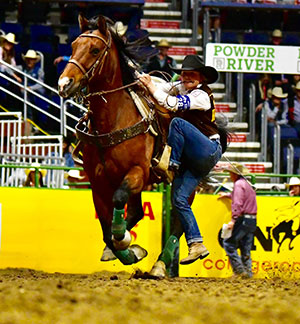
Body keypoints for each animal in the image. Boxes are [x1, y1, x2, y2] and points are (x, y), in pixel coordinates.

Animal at [58, 13, 163, 264]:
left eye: (95, 49)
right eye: (73, 46)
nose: (64, 84)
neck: (113, 121)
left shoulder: (138, 172)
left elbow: (118, 200)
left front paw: (124, 240)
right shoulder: (97, 183)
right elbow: (106, 228)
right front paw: (124, 249)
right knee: (136, 210)